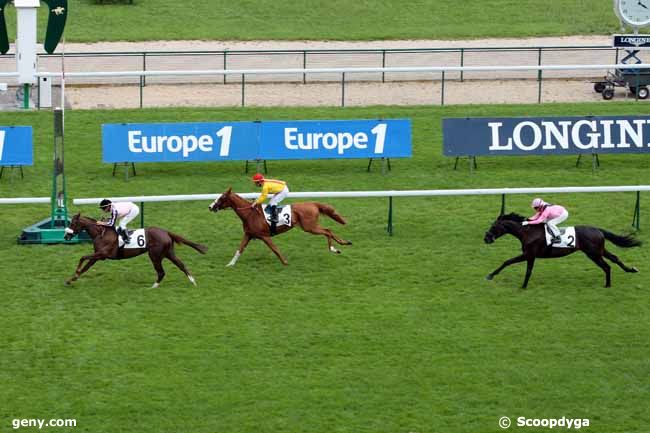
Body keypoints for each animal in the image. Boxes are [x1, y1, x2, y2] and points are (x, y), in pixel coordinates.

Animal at [62, 213, 206, 286]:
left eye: (72, 223)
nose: (66, 236)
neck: (101, 233)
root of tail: (166, 232)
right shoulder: (98, 256)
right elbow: (86, 267)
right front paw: (71, 279)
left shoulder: (102, 254)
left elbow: (82, 257)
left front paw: (75, 273)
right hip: (168, 253)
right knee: (181, 264)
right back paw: (192, 281)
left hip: (155, 255)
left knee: (161, 272)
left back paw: (153, 286)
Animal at [206, 187, 350, 264]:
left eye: (222, 197)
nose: (210, 207)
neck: (249, 214)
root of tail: (313, 204)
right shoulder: (248, 235)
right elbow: (239, 249)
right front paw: (230, 264)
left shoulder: (264, 236)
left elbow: (275, 249)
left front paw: (285, 262)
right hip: (310, 226)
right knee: (328, 230)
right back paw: (342, 244)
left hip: (310, 227)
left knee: (327, 231)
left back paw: (336, 247)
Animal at [480, 212, 636, 286]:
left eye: (494, 227)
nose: (486, 238)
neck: (527, 232)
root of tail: (598, 230)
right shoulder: (528, 255)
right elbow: (509, 262)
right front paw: (491, 275)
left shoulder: (529, 254)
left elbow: (520, 267)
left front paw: (523, 286)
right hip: (599, 250)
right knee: (614, 258)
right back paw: (631, 269)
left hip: (593, 254)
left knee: (607, 266)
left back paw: (608, 285)